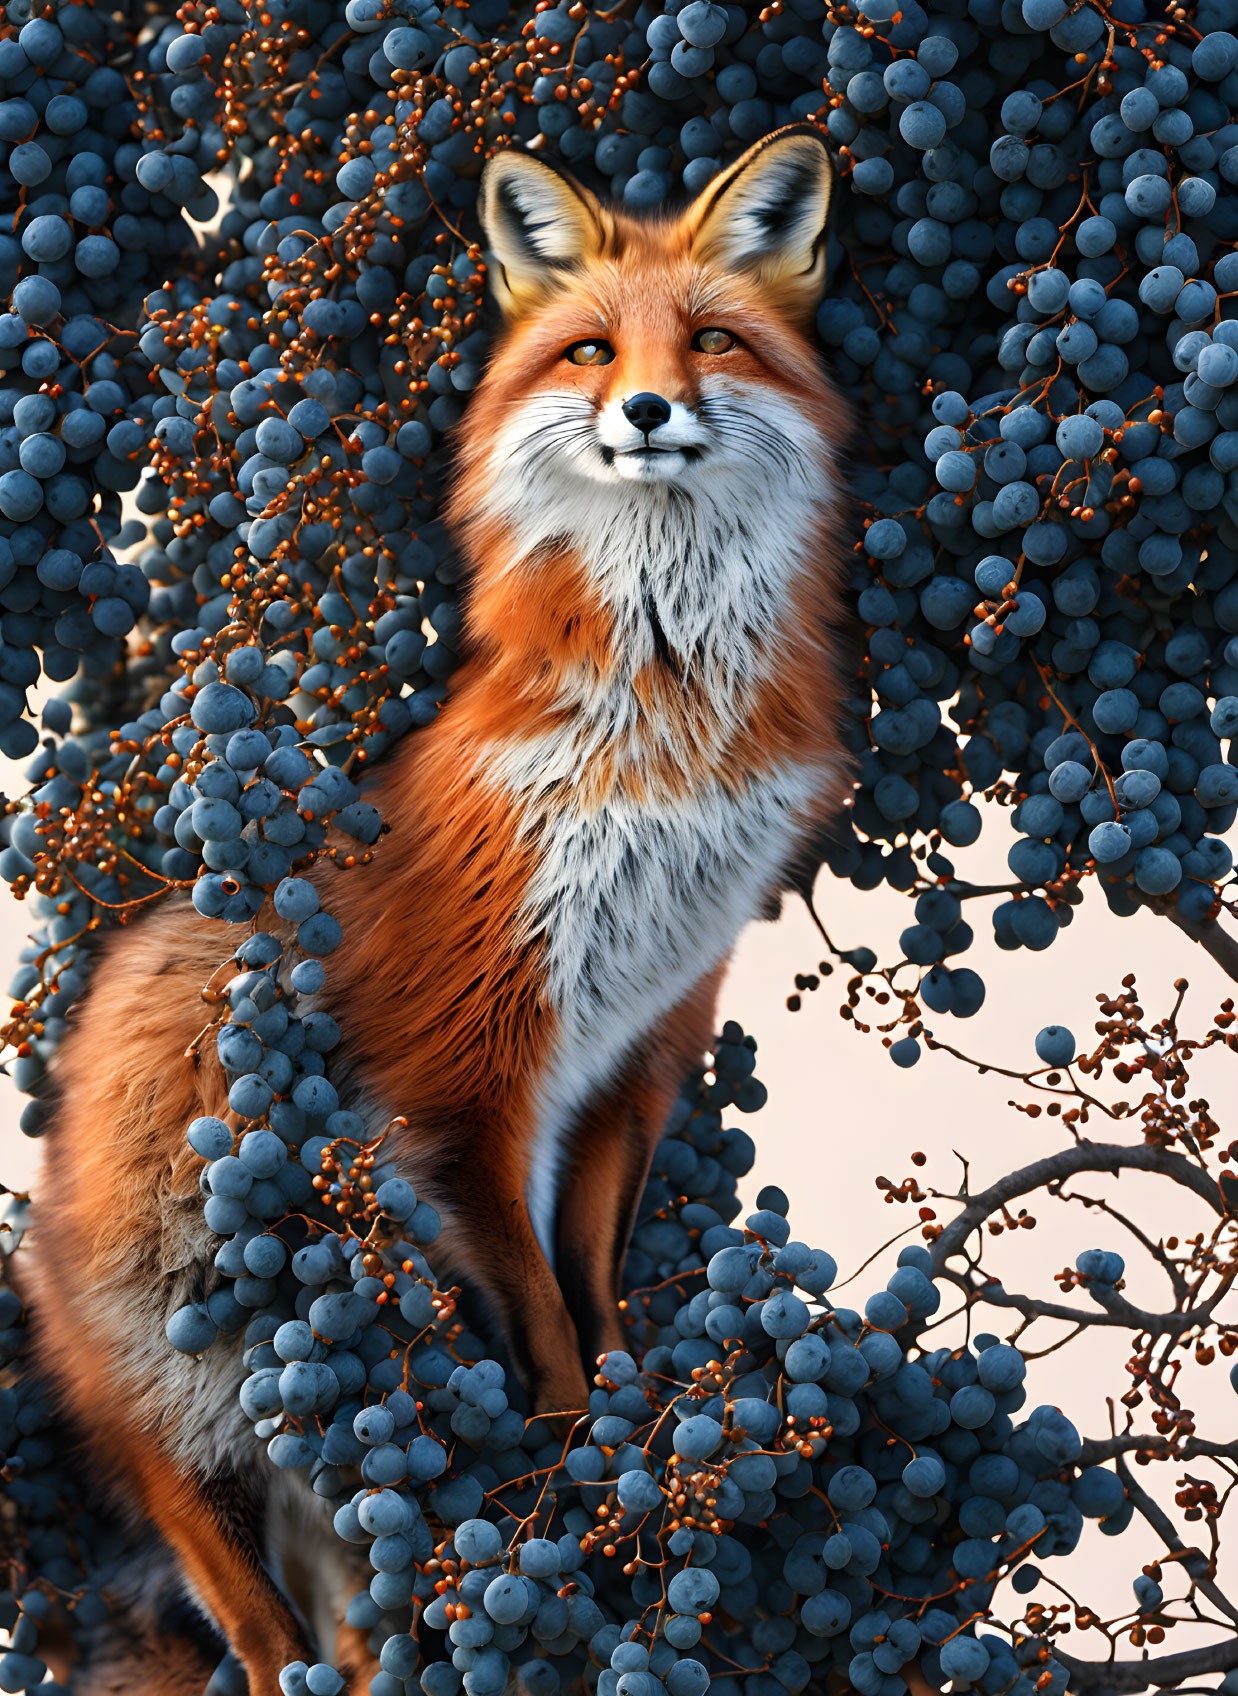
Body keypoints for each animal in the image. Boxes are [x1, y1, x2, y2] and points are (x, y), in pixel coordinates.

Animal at [26, 125, 847, 1689]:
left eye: (710, 339)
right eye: (589, 350)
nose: (647, 405)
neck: (651, 746)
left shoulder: (635, 1052)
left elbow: (590, 1280)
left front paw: (625, 1424)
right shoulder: (463, 1079)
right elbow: (533, 1307)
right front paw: (569, 1466)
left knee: (340, 1633)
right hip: (199, 1417)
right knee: (251, 1623)